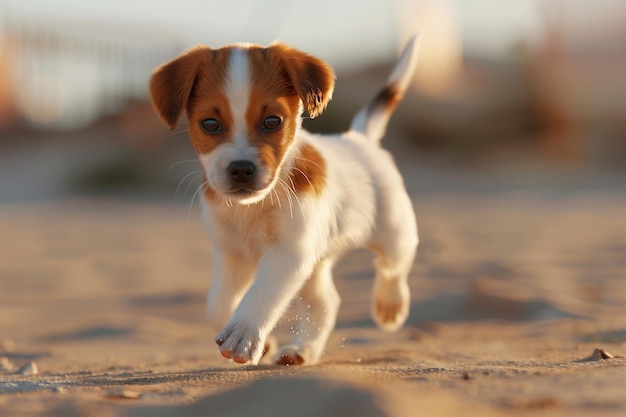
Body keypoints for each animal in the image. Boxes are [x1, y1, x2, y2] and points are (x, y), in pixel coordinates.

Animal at [148, 37, 416, 366]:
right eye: (210, 123)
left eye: (272, 121)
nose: (241, 169)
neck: (250, 209)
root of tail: (359, 139)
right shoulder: (231, 253)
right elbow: (218, 304)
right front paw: (262, 345)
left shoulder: (288, 252)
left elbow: (262, 292)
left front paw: (244, 333)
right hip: (314, 265)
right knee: (326, 302)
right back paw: (302, 351)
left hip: (394, 232)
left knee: (394, 266)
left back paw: (389, 305)